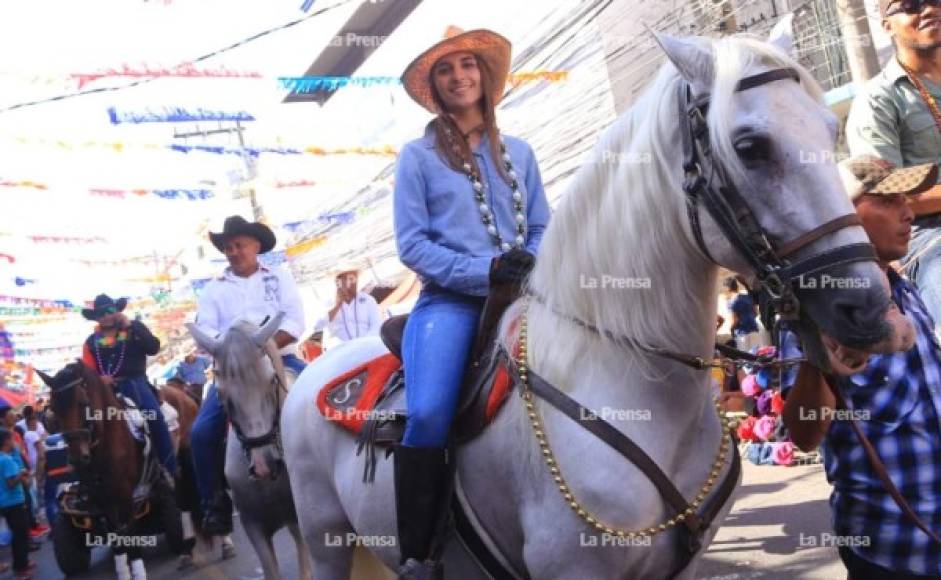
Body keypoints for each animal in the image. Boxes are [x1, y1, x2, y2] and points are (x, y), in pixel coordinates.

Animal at [38, 362, 189, 576]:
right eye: (53, 409)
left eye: (83, 402)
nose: (77, 458)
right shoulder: (101, 498)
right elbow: (116, 535)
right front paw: (123, 571)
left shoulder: (126, 495)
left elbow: (128, 532)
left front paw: (138, 572)